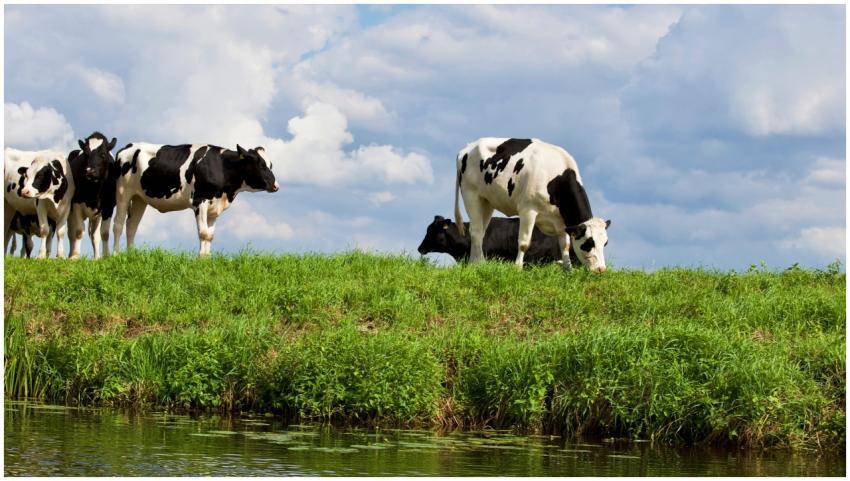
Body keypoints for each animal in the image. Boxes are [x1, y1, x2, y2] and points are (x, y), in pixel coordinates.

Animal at [112, 143, 279, 256]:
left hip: (140, 198)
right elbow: (203, 233)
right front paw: (201, 259)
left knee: (132, 226)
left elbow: (210, 235)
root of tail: (128, 146)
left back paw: (131, 255)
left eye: (271, 165)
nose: (276, 186)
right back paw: (115, 255)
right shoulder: (200, 201)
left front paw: (207, 258)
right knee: (118, 225)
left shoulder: (214, 207)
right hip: (123, 192)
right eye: (261, 165)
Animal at [454, 138, 610, 272]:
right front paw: (517, 268)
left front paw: (568, 270)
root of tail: (467, 147)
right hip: (471, 194)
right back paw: (479, 263)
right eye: (589, 243)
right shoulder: (528, 210)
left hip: (486, 201)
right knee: (475, 231)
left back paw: (475, 264)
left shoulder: (560, 222)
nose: (601, 269)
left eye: (605, 243)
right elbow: (524, 243)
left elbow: (565, 245)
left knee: (481, 232)